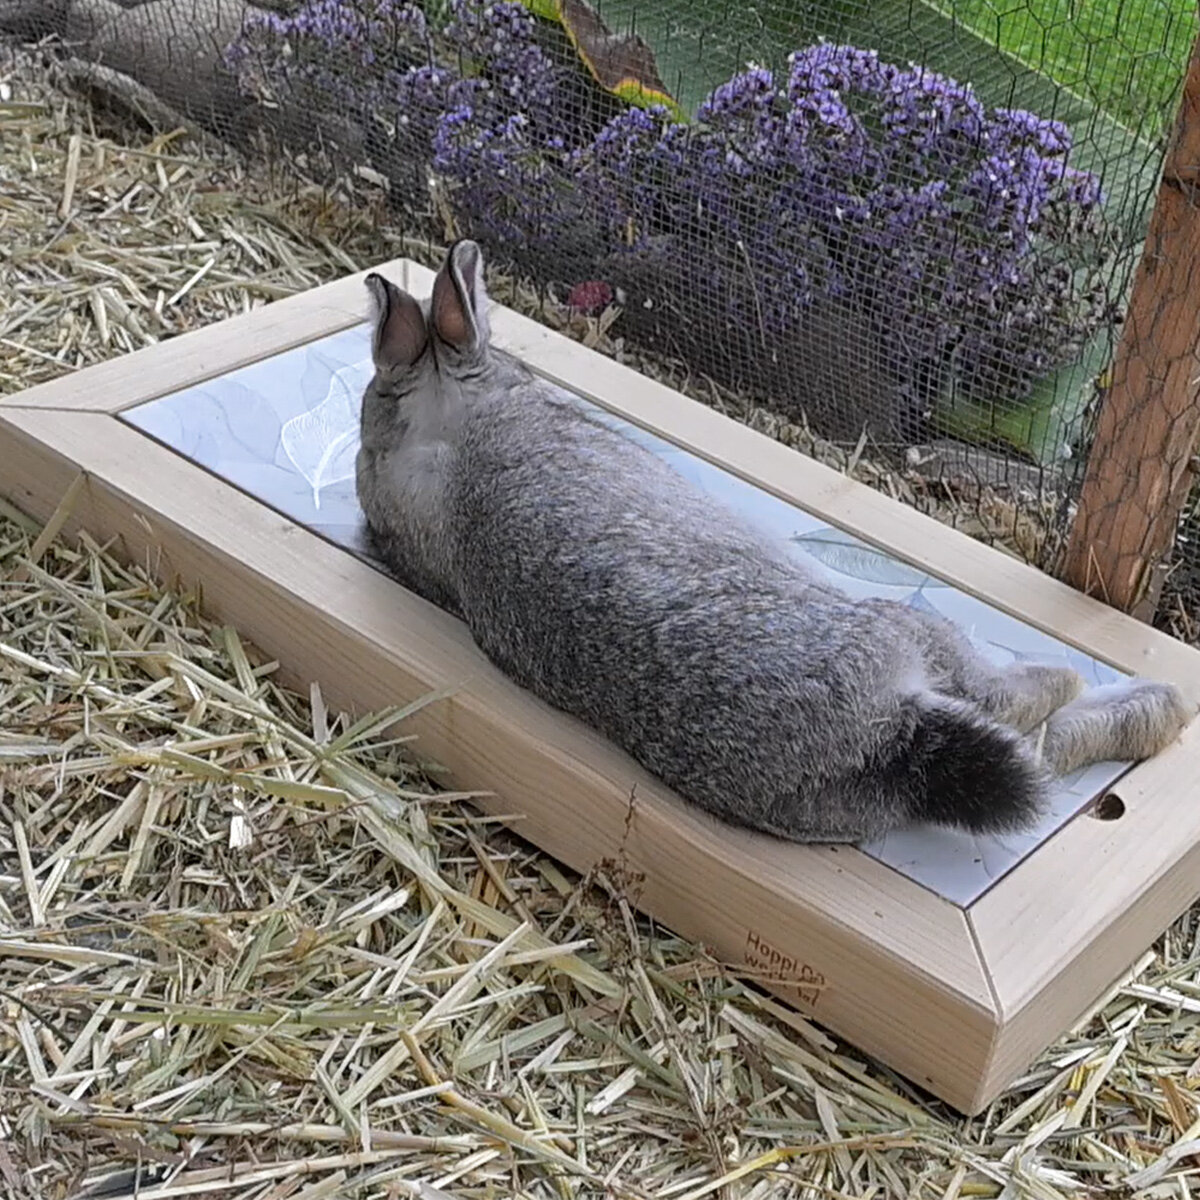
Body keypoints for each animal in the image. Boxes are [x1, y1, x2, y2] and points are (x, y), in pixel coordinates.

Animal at [355, 239, 1193, 844]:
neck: (445, 431)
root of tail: (881, 739)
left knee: (1042, 752)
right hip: (911, 632)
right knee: (1026, 712)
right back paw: (1142, 699)